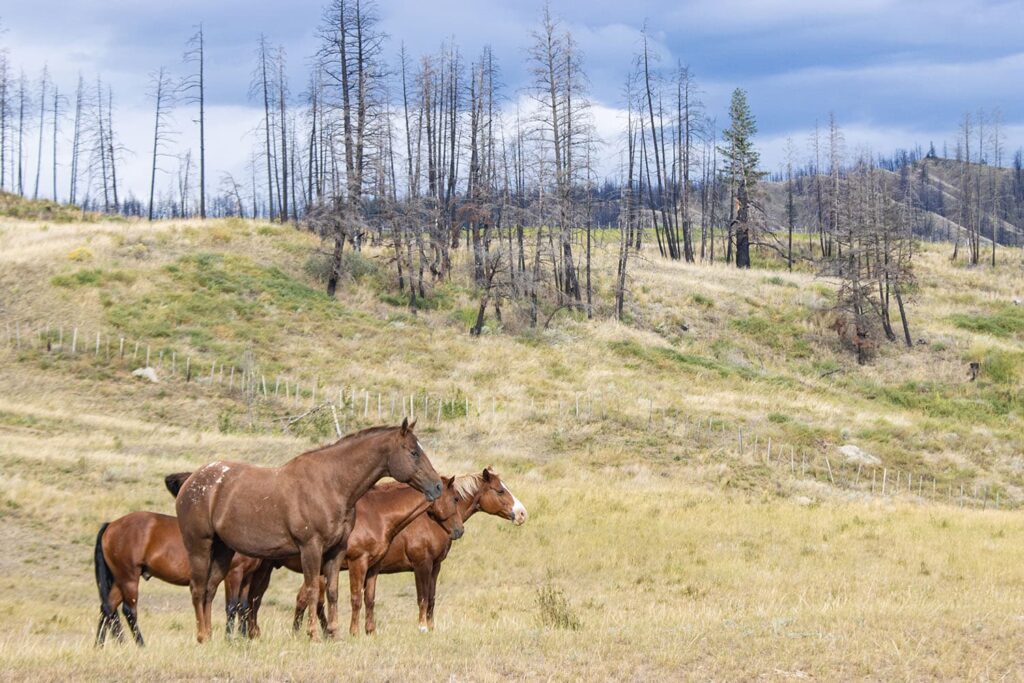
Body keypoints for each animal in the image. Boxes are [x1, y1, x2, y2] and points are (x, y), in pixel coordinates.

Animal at [176, 419, 440, 643]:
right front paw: (313, 634)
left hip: (223, 551)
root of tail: (192, 482)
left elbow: (332, 592)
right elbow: (313, 591)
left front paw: (334, 633)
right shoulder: (311, 548)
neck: (330, 484)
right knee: (198, 589)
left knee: (210, 589)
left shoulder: (336, 551)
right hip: (200, 547)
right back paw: (202, 636)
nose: (437, 486)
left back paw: (210, 636)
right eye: (413, 452)